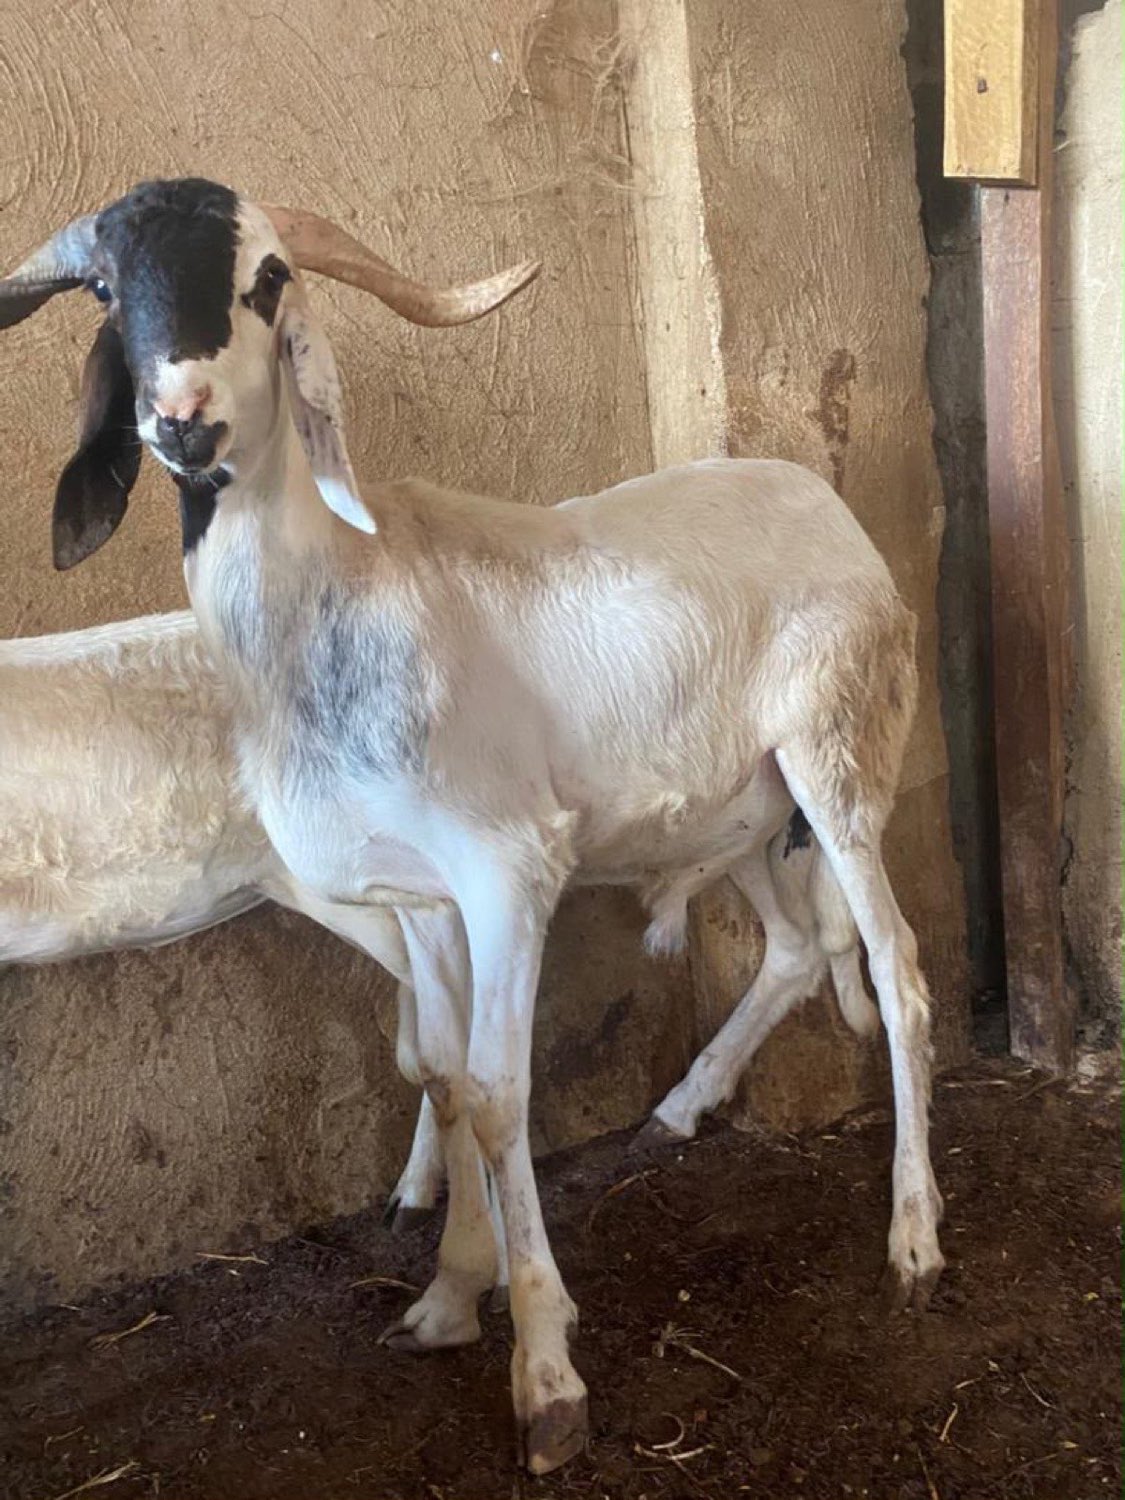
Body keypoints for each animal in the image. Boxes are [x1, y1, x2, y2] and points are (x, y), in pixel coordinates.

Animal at [1, 178, 943, 1474]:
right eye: (104, 288)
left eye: (267, 278)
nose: (181, 423)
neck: (350, 590)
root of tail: (822, 498)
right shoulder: (422, 898)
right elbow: (442, 1081)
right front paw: (447, 1301)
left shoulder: (509, 873)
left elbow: (499, 1099)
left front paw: (545, 1373)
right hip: (749, 810)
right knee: (800, 949)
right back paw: (682, 1109)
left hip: (840, 754)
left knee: (896, 968)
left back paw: (914, 1238)